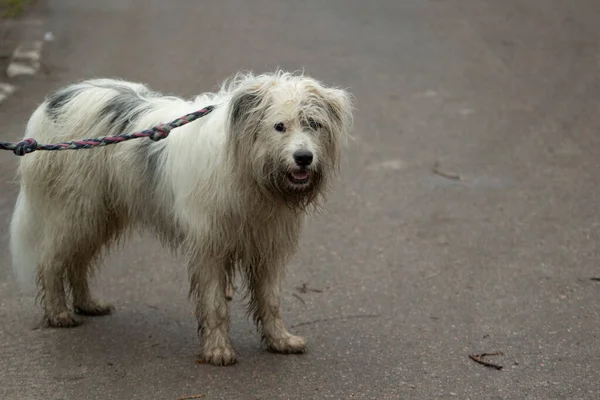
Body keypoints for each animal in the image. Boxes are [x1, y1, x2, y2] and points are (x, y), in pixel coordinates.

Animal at [9, 71, 354, 366]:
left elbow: (270, 300)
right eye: (279, 126)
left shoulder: (267, 244)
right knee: (52, 260)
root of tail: (55, 101)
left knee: (78, 260)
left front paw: (280, 340)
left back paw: (87, 303)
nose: (304, 158)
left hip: (100, 214)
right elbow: (214, 303)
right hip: (77, 210)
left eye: (313, 124)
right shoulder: (209, 245)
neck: (250, 171)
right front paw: (218, 350)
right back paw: (58, 313)